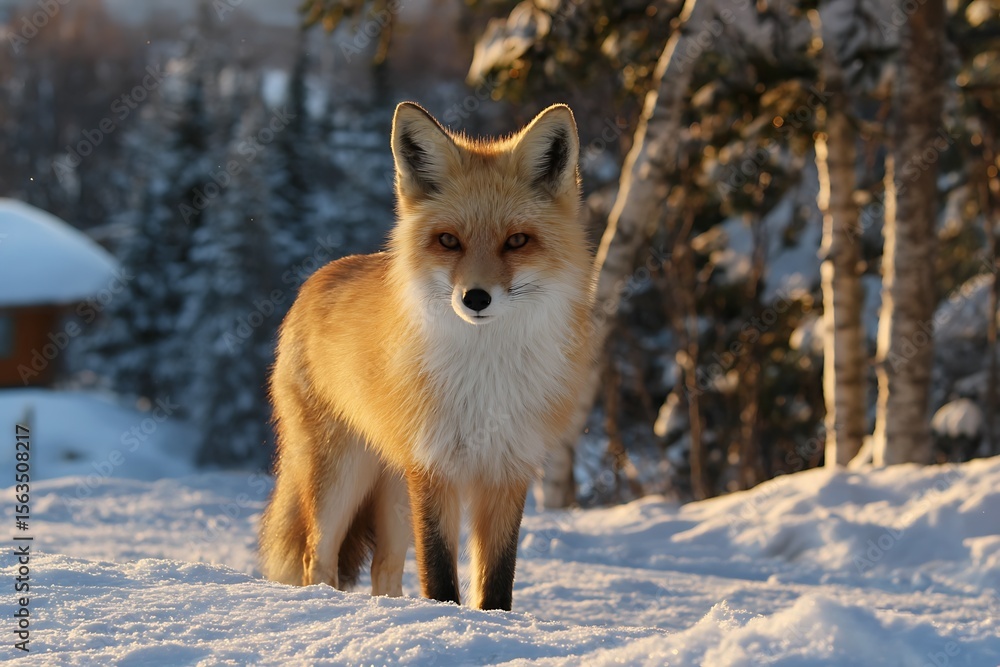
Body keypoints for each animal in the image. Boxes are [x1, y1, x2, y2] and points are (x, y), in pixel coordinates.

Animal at [258, 102, 595, 611]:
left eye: (517, 241)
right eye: (448, 241)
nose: (476, 298)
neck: (484, 377)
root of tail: (319, 276)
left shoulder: (507, 470)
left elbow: (496, 583)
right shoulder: (434, 468)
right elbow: (439, 577)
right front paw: (447, 620)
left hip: (395, 491)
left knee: (385, 568)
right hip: (340, 473)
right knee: (317, 557)